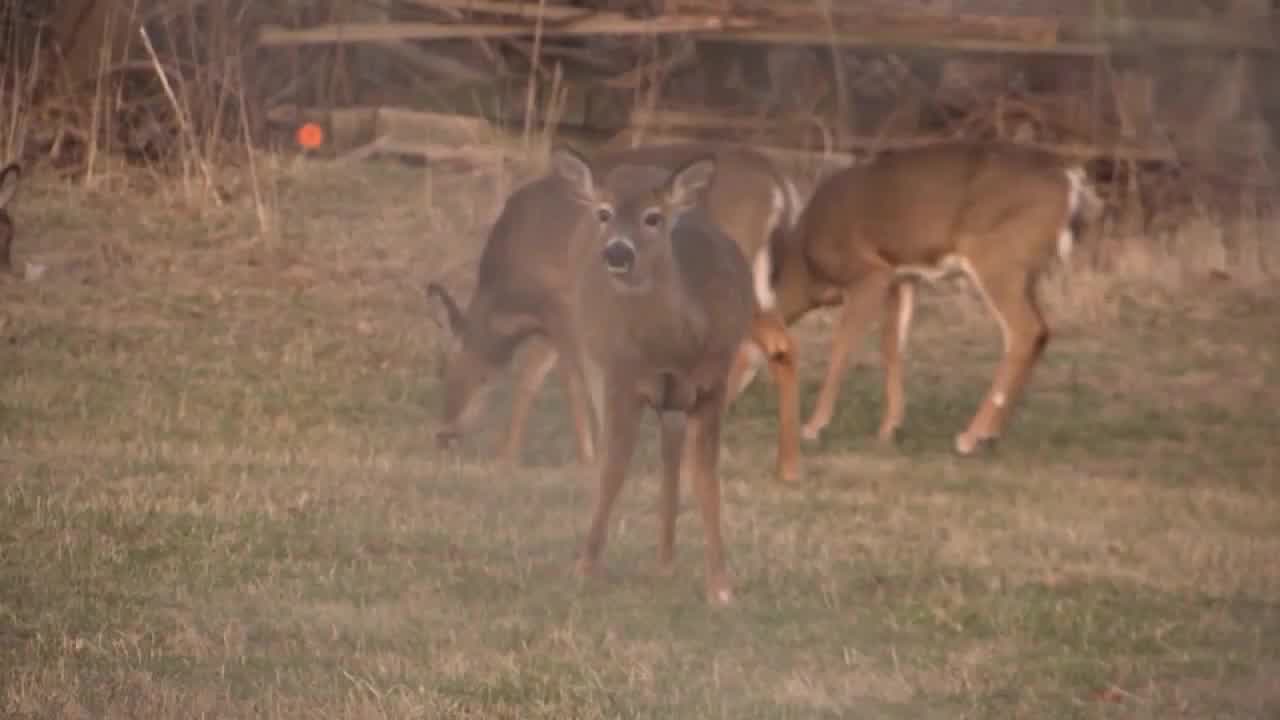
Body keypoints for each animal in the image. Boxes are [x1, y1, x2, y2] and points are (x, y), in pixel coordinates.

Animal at [428, 143, 804, 483]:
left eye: (446, 368)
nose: (444, 435)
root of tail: (780, 186)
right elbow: (531, 377)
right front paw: (506, 456)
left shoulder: (563, 305)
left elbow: (571, 379)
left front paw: (588, 458)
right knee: (776, 346)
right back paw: (779, 466)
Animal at [550, 145, 754, 606]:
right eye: (605, 213)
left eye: (653, 217)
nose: (617, 253)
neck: (675, 348)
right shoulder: (620, 377)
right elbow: (614, 467)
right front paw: (586, 567)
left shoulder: (714, 382)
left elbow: (706, 477)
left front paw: (720, 585)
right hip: (591, 355)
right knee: (616, 452)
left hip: (674, 399)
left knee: (671, 452)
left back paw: (666, 561)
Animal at [767, 142, 1103, 455]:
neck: (808, 268)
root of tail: (1072, 181)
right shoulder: (902, 278)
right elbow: (891, 346)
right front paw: (889, 428)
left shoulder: (870, 273)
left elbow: (842, 345)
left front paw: (813, 426)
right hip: (1026, 272)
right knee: (1041, 332)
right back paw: (990, 434)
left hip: (997, 256)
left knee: (1025, 331)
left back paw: (971, 438)